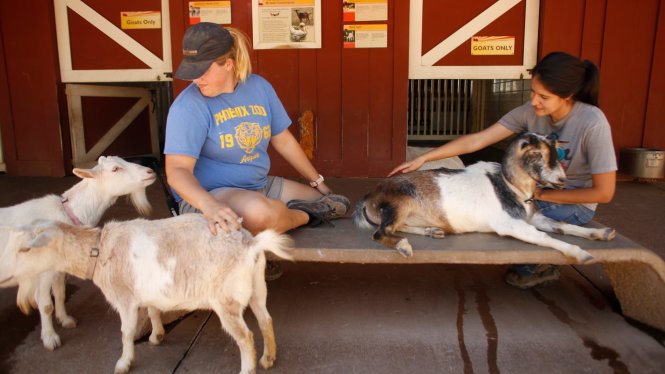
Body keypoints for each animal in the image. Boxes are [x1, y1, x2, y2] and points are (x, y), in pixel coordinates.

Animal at [0, 156, 154, 350]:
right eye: (115, 169)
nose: (150, 172)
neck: (68, 214)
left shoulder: (58, 268)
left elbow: (60, 293)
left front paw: (65, 320)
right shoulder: (43, 272)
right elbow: (45, 304)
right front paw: (50, 338)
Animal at [0, 213, 290, 374]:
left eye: (25, 249)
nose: (3, 275)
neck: (99, 251)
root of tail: (250, 244)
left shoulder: (125, 299)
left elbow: (126, 332)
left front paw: (123, 363)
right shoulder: (148, 291)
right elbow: (152, 310)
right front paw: (156, 336)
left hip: (226, 299)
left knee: (245, 336)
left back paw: (247, 369)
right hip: (256, 288)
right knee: (265, 320)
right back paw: (268, 358)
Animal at [356, 133, 616, 262]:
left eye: (557, 153)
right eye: (537, 153)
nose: (561, 180)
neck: (510, 186)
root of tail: (369, 197)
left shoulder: (532, 217)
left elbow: (562, 225)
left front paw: (602, 233)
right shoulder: (510, 225)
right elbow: (544, 237)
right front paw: (582, 254)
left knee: (398, 227)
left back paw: (432, 231)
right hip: (399, 204)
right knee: (380, 232)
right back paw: (404, 246)